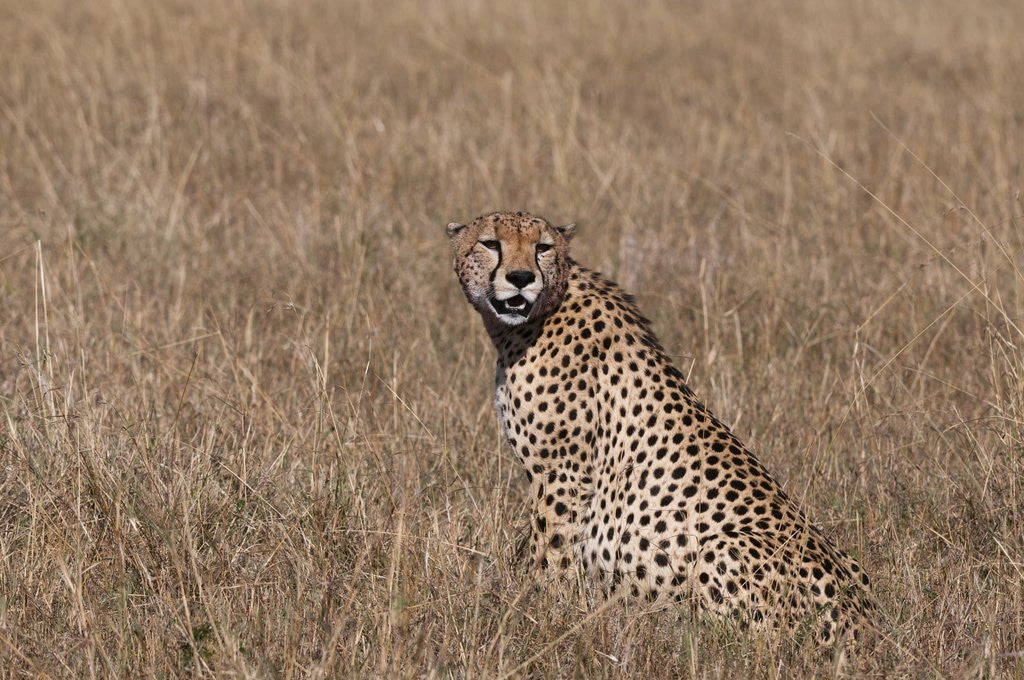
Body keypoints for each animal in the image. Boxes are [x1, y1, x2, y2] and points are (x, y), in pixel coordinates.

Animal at [446, 210, 875, 644]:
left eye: (543, 247)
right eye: (491, 244)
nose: (520, 277)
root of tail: (865, 620)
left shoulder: (561, 473)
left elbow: (552, 549)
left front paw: (540, 609)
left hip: (719, 549)